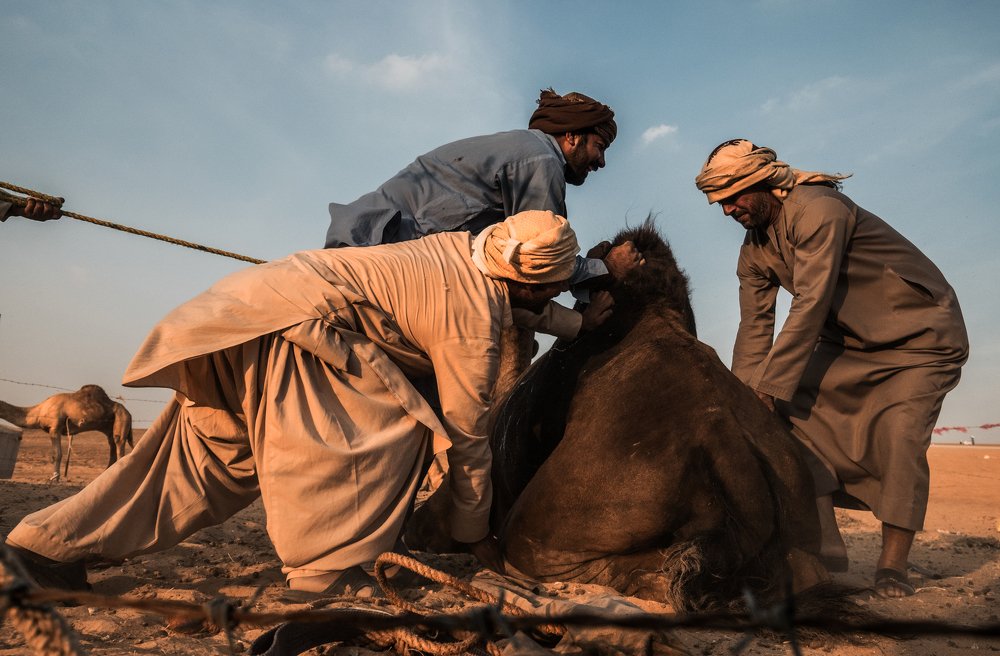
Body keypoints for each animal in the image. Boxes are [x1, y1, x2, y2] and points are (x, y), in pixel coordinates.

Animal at [0, 384, 133, 482]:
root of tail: (129, 413)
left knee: (119, 443)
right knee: (112, 446)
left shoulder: (55, 428)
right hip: (110, 427)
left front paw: (55, 478)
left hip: (122, 418)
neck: (39, 410)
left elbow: (57, 454)